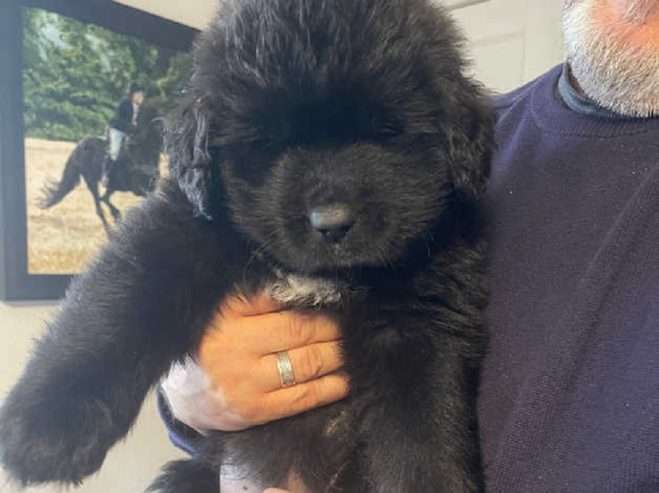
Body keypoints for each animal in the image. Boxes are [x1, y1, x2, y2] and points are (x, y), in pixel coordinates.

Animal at [39, 106, 164, 234]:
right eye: (158, 130)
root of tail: (79, 146)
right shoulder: (136, 188)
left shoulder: (150, 187)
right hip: (92, 181)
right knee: (99, 205)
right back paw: (110, 230)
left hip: (109, 186)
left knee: (104, 199)